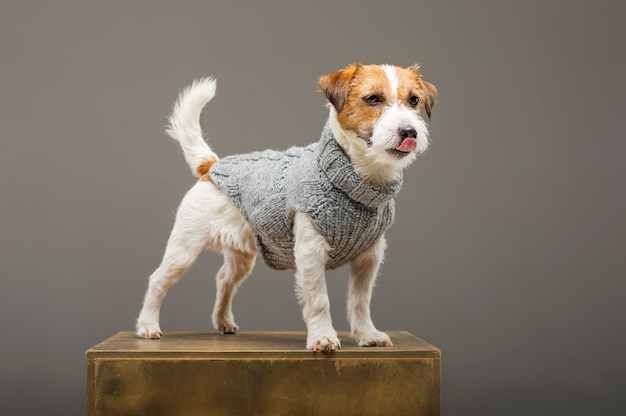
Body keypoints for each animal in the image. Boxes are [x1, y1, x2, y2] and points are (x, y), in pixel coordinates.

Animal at [136, 63, 434, 352]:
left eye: (414, 100)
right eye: (373, 99)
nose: (409, 131)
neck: (355, 179)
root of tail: (212, 167)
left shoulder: (368, 258)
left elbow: (361, 300)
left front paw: (367, 334)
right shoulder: (310, 252)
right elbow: (319, 300)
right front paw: (323, 337)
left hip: (241, 257)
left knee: (223, 279)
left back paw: (223, 321)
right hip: (184, 249)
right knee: (158, 280)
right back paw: (147, 325)